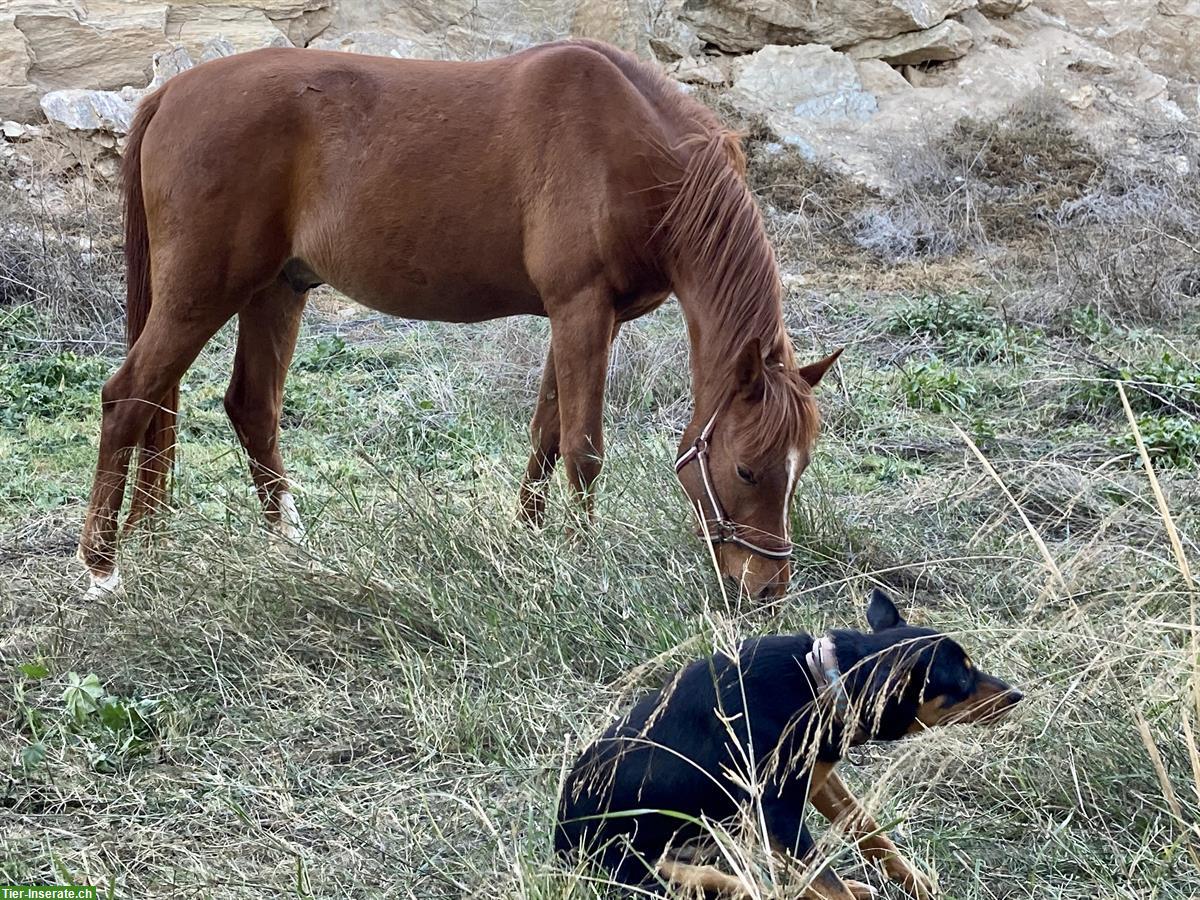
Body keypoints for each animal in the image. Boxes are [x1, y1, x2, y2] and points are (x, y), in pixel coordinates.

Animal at [79, 44, 840, 607]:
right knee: (128, 398)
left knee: (246, 406)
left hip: (275, 290)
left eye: (800, 467)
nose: (768, 589)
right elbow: (584, 449)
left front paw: (529, 543)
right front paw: (581, 561)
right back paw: (101, 570)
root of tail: (171, 94)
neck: (636, 149)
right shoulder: (582, 309)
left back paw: (288, 545)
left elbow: (546, 433)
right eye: (746, 468)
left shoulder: (583, 317)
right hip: (201, 293)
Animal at [556, 588, 1027, 897]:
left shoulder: (821, 780)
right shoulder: (778, 814)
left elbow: (870, 833)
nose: (1017, 695)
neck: (822, 684)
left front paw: (917, 884)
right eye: (962, 679)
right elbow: (827, 884)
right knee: (739, 888)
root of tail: (558, 846)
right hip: (651, 865)